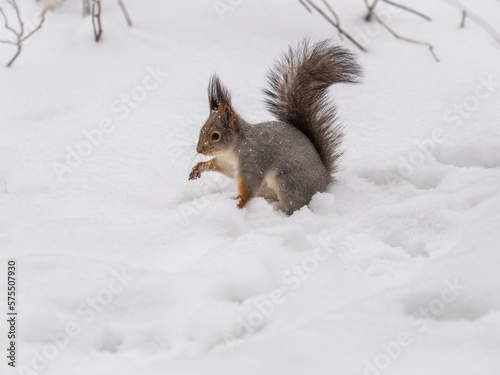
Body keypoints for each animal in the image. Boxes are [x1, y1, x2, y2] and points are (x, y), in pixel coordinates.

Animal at [189, 39, 362, 214]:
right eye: (201, 129)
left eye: (215, 135)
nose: (199, 150)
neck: (231, 150)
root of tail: (324, 180)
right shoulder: (228, 165)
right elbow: (218, 167)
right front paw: (197, 169)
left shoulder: (252, 162)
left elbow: (249, 188)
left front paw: (237, 203)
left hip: (289, 185)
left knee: (294, 207)